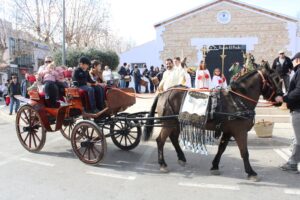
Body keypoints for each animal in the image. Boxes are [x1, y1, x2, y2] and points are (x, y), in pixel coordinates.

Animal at [144, 63, 282, 180]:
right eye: (276, 79)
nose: (281, 99)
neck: (237, 99)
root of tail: (164, 92)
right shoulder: (240, 131)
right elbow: (244, 152)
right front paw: (251, 172)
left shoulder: (228, 131)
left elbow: (222, 148)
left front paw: (215, 165)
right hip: (168, 123)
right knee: (160, 140)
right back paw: (163, 164)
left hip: (175, 123)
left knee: (173, 138)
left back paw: (181, 158)